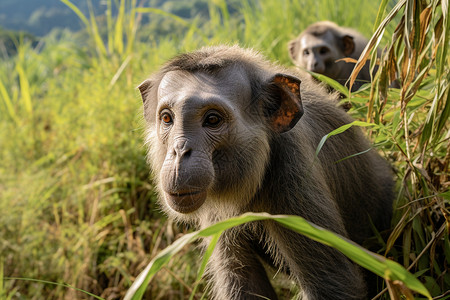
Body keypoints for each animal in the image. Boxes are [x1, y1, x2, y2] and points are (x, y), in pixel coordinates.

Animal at [138, 45, 394, 300]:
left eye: (212, 119)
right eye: (167, 118)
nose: (180, 151)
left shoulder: (294, 172)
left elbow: (332, 282)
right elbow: (243, 283)